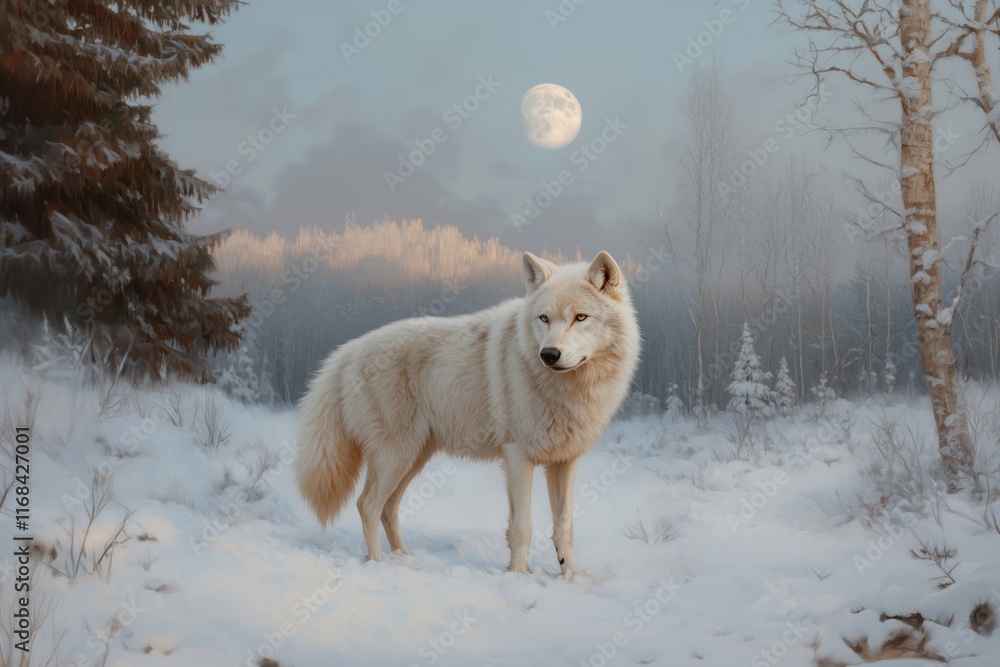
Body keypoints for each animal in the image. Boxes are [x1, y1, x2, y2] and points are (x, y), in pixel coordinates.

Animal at [296, 251, 640, 575]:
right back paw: (380, 564)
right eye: (544, 318)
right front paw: (519, 575)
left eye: (580, 317)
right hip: (396, 456)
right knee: (366, 505)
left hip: (412, 458)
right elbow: (522, 526)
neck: (570, 388)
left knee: (388, 508)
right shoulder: (517, 456)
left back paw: (404, 558)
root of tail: (348, 351)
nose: (549, 355)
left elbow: (565, 526)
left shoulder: (565, 461)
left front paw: (571, 575)